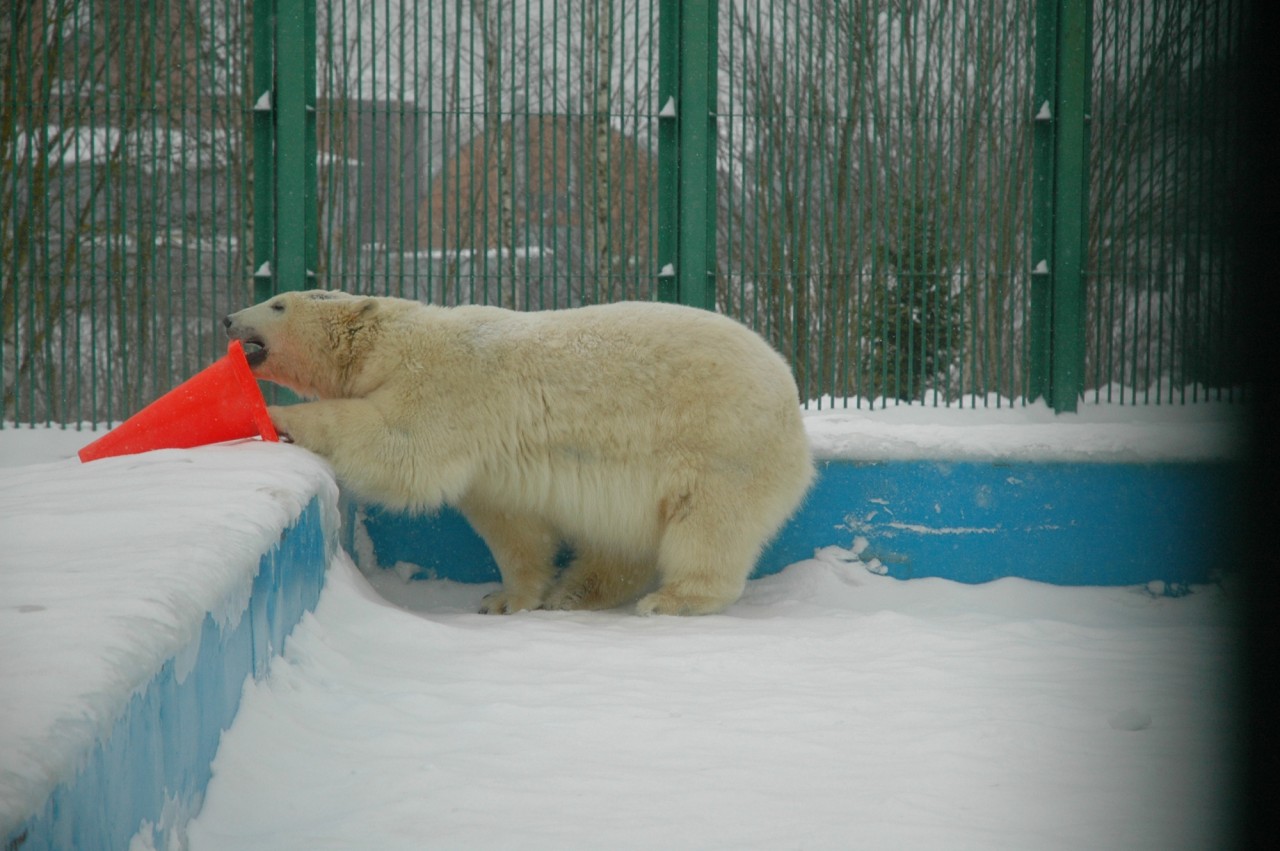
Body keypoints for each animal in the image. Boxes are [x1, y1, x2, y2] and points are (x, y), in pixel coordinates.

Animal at [222, 289, 808, 614]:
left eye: (278, 303)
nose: (228, 319)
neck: (398, 339)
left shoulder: (450, 387)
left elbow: (403, 447)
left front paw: (279, 417)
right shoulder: (492, 464)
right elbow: (513, 526)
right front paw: (506, 599)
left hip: (720, 445)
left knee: (708, 526)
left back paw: (675, 600)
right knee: (620, 541)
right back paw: (575, 592)